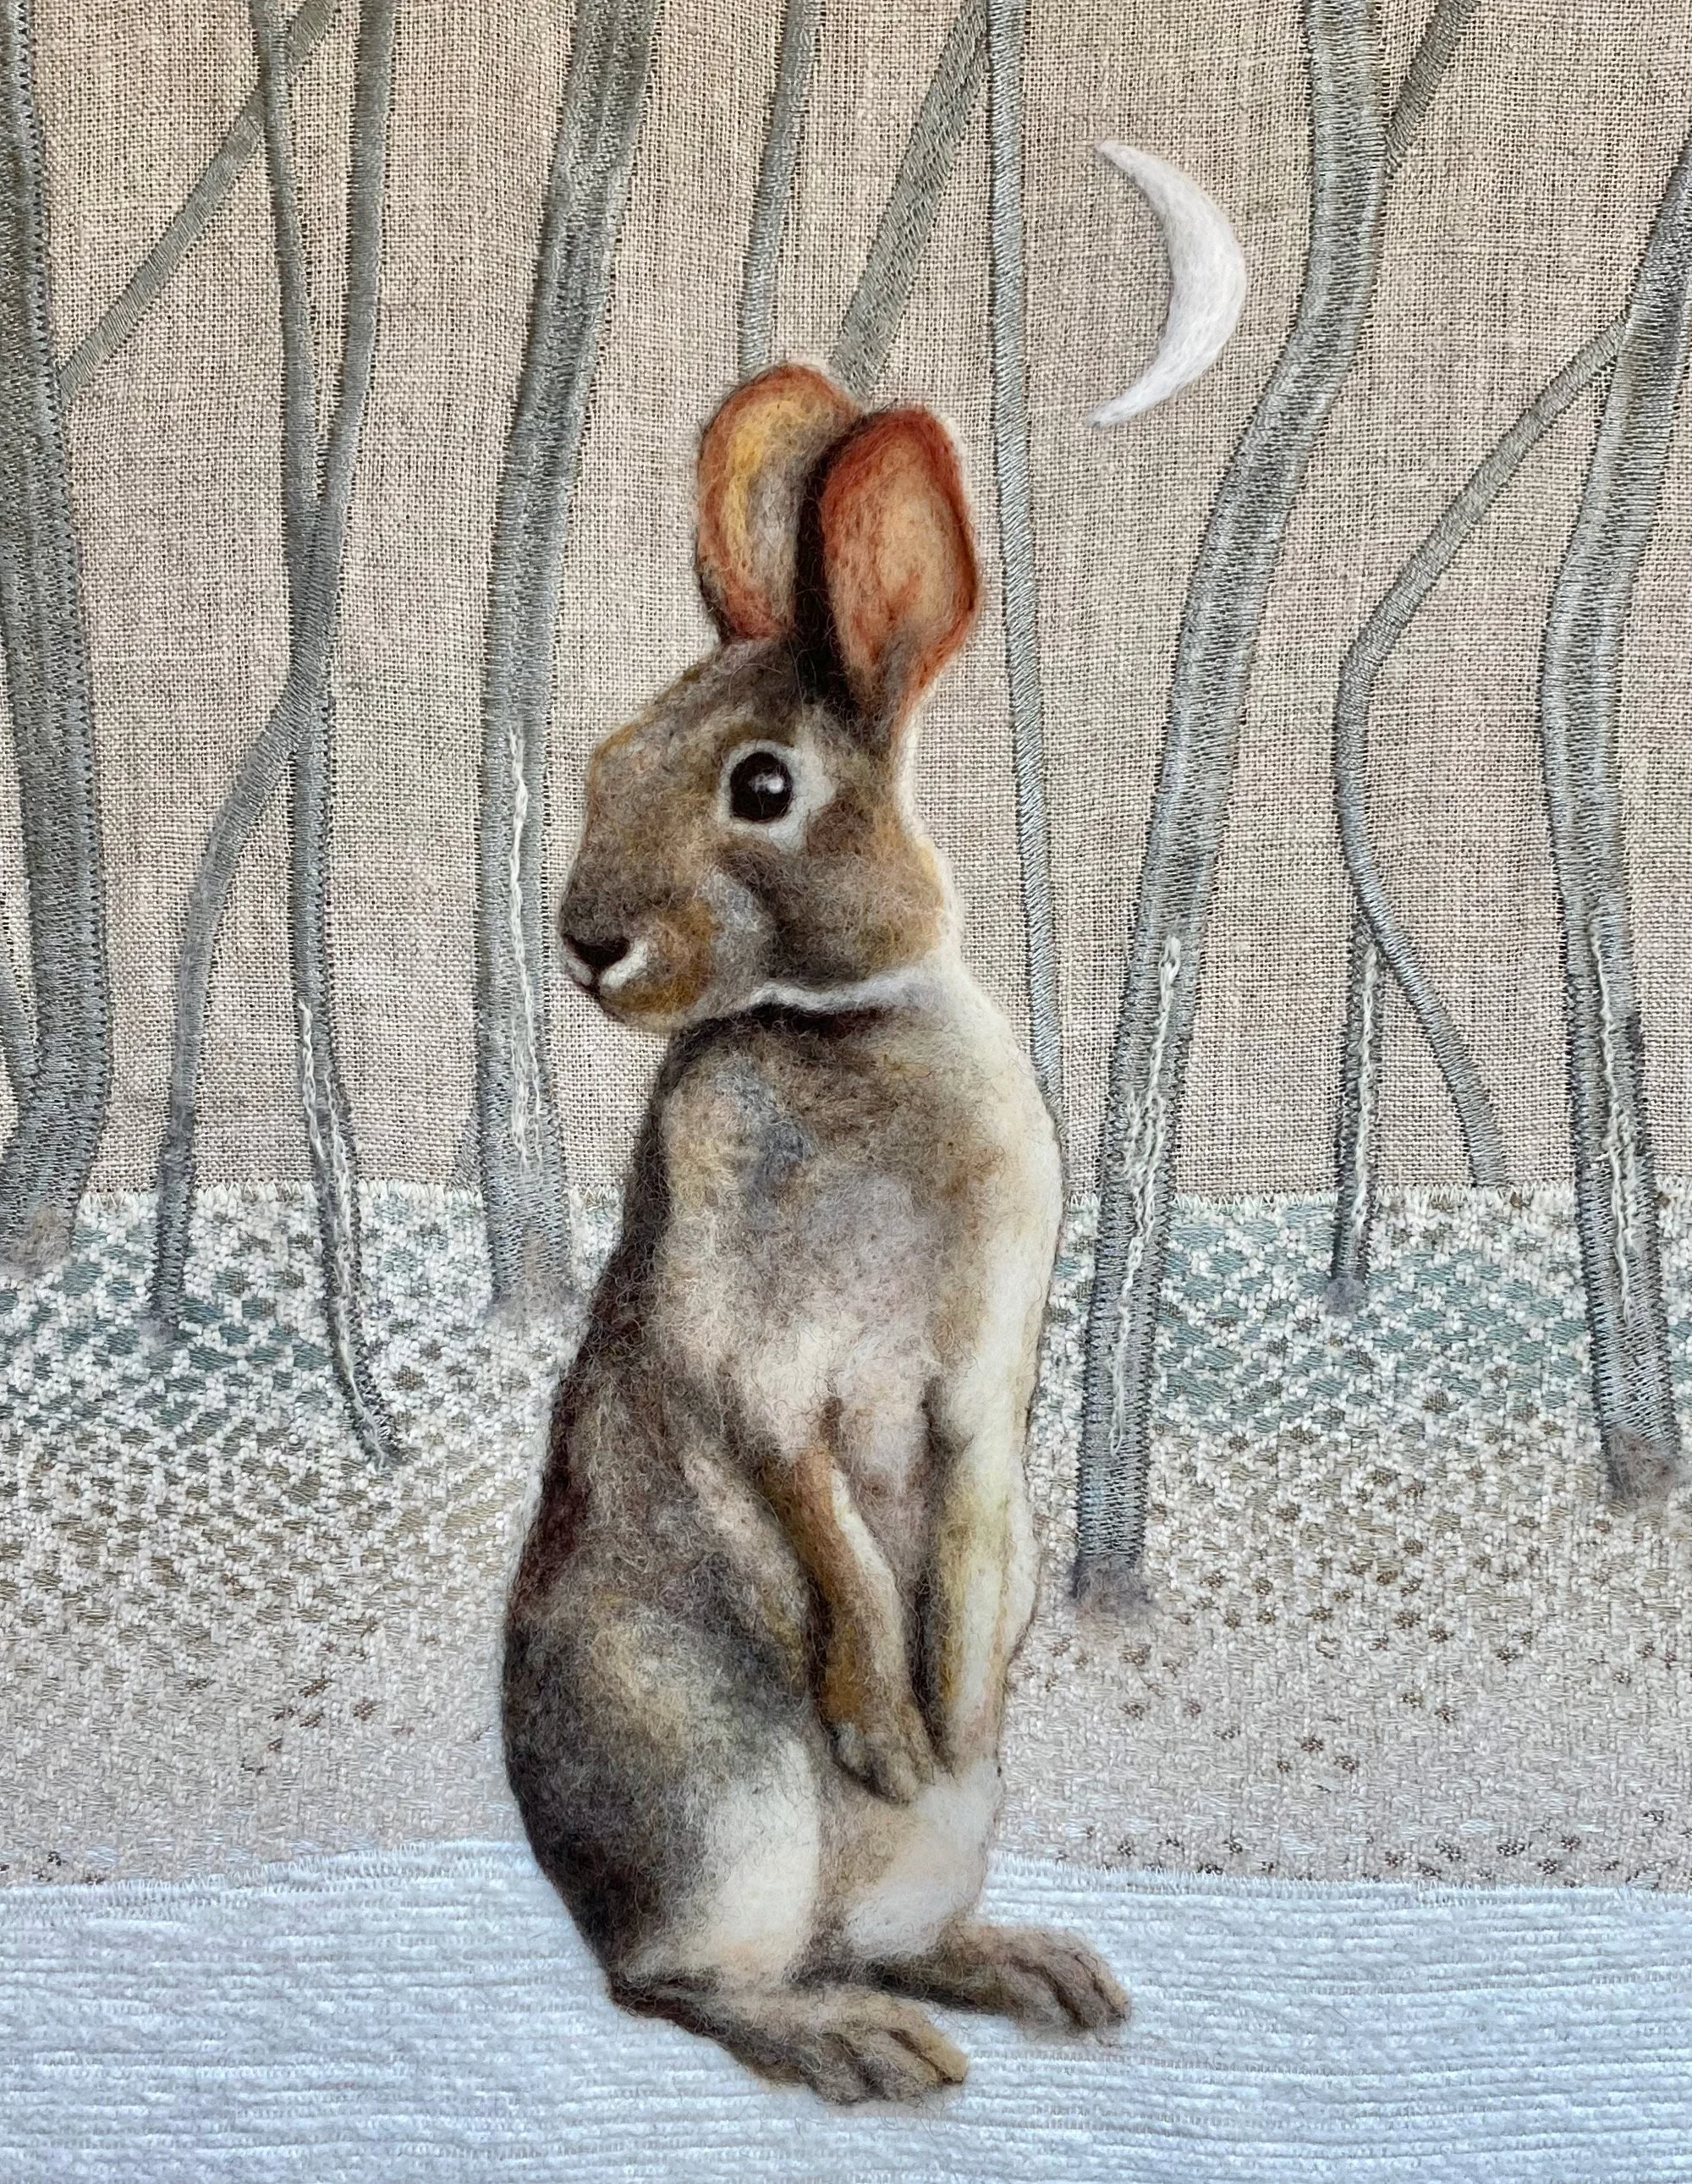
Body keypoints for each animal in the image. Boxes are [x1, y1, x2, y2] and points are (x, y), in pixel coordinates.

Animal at [502, 361, 1127, 2104]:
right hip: (725, 1809)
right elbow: (822, 1524)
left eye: (762, 786)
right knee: (684, 1983)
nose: (587, 943)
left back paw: (1022, 1972)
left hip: (927, 1849)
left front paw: (957, 1708)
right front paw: (889, 1725)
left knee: (885, 1934)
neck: (836, 1024)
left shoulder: (981, 1380)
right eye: (605, 760)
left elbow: (971, 1517)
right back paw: (853, 2043)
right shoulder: (757, 1370)